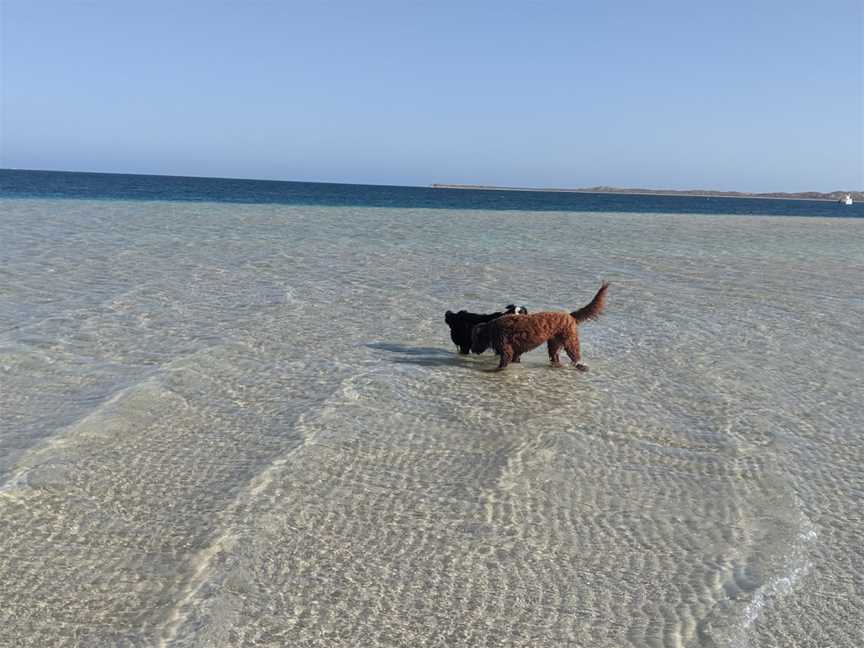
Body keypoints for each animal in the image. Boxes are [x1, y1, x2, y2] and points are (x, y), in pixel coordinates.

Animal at [472, 282, 608, 370]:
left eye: (474, 340)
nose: (472, 350)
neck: (492, 329)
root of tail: (570, 316)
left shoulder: (507, 350)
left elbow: (503, 362)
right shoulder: (516, 351)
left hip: (570, 341)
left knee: (575, 356)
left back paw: (580, 366)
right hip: (554, 343)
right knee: (555, 357)